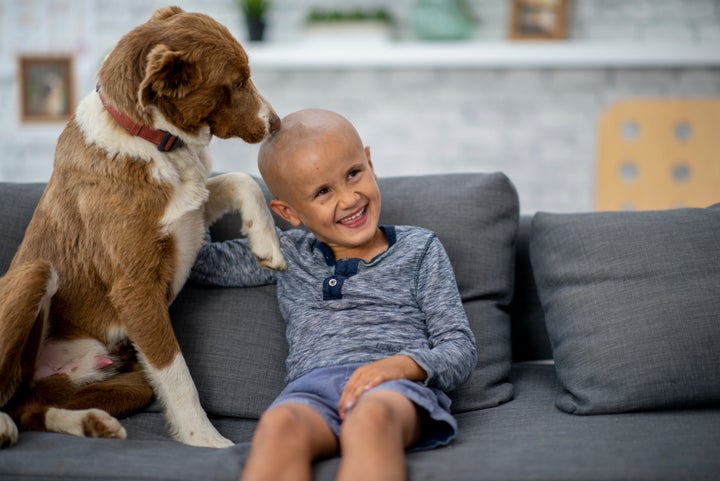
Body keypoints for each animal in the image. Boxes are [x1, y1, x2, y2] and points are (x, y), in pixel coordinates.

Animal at [0, 5, 286, 448]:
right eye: (237, 81)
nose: (275, 123)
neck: (155, 138)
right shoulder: (135, 289)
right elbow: (178, 374)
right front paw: (207, 441)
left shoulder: (190, 211)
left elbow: (241, 179)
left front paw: (267, 244)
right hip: (35, 273)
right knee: (11, 402)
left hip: (125, 383)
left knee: (30, 408)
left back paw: (91, 423)